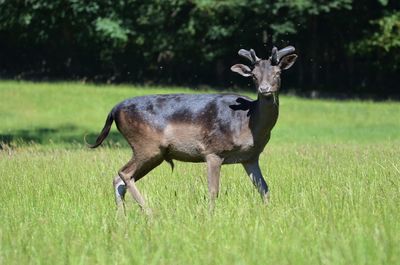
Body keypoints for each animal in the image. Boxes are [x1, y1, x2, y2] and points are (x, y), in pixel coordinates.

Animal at [87, 46, 296, 212]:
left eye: (278, 73)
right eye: (254, 76)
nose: (264, 89)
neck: (248, 124)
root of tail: (114, 110)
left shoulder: (250, 157)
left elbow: (264, 188)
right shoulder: (213, 151)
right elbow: (213, 191)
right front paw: (210, 216)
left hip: (152, 153)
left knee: (118, 180)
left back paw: (122, 218)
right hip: (147, 146)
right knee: (124, 173)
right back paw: (149, 212)